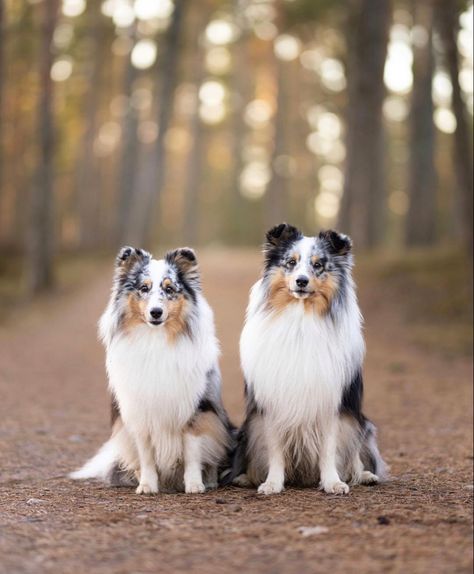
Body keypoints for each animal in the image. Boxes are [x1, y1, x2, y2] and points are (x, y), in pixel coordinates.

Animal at [70, 248, 233, 496]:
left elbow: (193, 451)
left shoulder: (195, 409)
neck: (156, 340)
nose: (156, 312)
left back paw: (210, 480)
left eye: (169, 289)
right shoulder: (140, 411)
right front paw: (147, 485)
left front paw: (194, 485)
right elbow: (146, 455)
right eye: (144, 288)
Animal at [228, 224, 386, 496]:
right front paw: (272, 483)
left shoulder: (331, 401)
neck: (301, 318)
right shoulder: (272, 402)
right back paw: (246, 478)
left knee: (355, 457)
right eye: (291, 262)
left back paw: (365, 476)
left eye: (318, 264)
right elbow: (274, 449)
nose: (301, 281)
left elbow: (329, 449)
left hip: (362, 424)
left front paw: (333, 482)